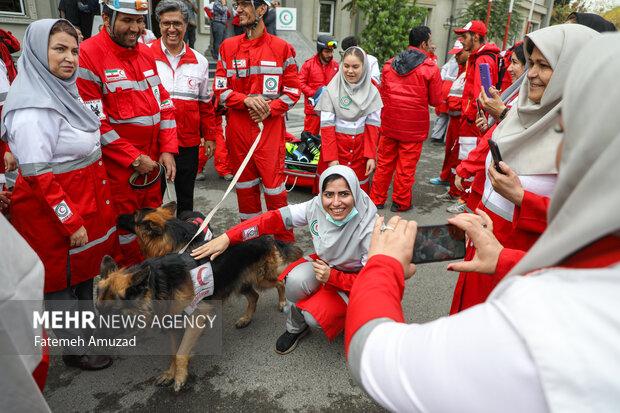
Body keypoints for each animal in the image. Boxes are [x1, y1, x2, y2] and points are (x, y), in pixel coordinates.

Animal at [116, 201, 300, 326]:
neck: (172, 236)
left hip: (260, 278)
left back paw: (282, 302)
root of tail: (265, 237)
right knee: (254, 296)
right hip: (240, 280)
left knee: (280, 282)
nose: (117, 217)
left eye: (133, 216)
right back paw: (245, 319)